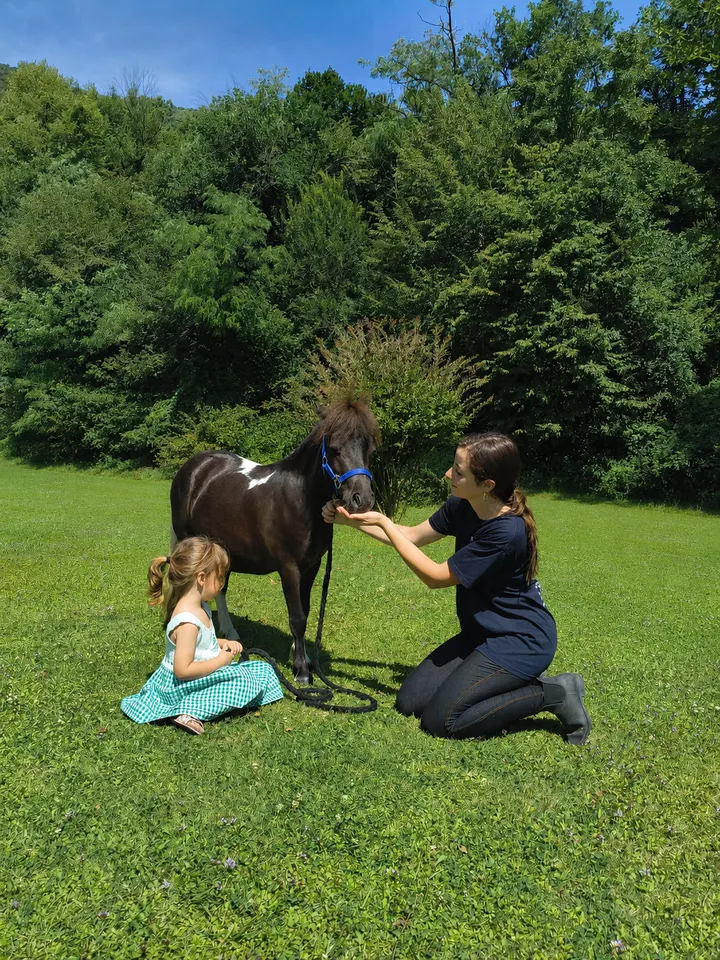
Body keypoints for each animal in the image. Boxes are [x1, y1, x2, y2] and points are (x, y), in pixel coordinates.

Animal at [169, 399, 379, 684]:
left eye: (369, 448)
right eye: (335, 448)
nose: (362, 499)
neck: (300, 500)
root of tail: (192, 467)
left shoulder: (312, 566)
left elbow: (306, 610)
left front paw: (303, 659)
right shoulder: (288, 568)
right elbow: (297, 617)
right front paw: (302, 671)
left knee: (220, 588)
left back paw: (230, 633)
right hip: (188, 540)